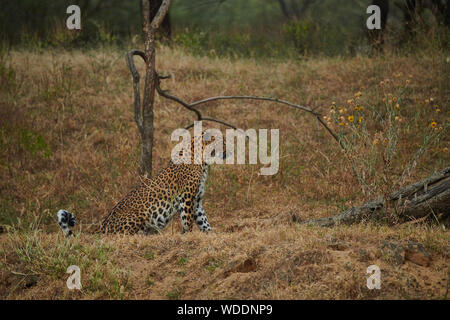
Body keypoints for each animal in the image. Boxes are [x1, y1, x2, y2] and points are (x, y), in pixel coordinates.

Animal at [58, 131, 227, 238]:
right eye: (223, 142)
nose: (230, 149)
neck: (204, 161)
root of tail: (101, 225)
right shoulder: (187, 197)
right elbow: (188, 219)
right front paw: (188, 235)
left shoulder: (196, 200)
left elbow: (202, 220)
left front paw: (211, 233)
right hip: (139, 215)